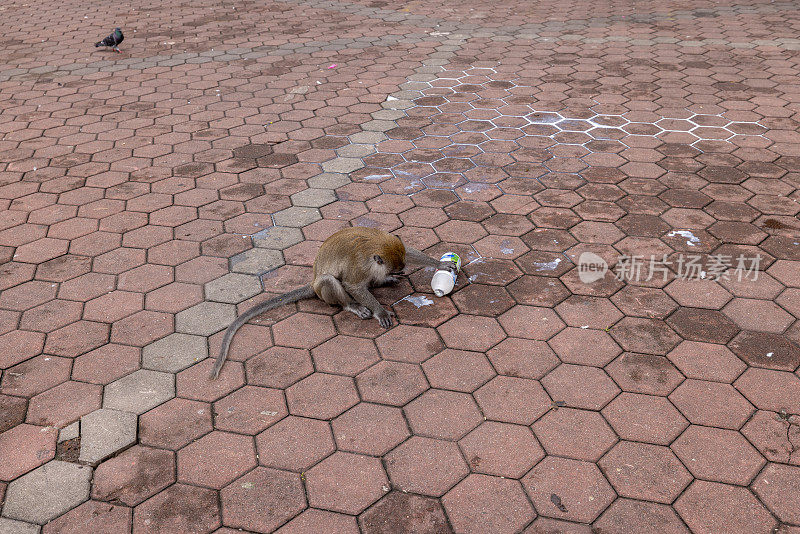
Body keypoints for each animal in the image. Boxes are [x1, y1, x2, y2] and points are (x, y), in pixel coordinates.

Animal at [209, 227, 454, 382]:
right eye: (397, 266)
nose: (399, 272)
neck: (375, 244)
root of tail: (312, 282)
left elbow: (409, 250)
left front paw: (441, 264)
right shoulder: (361, 265)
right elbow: (353, 286)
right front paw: (380, 311)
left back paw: (382, 282)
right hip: (322, 288)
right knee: (330, 280)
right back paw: (352, 305)